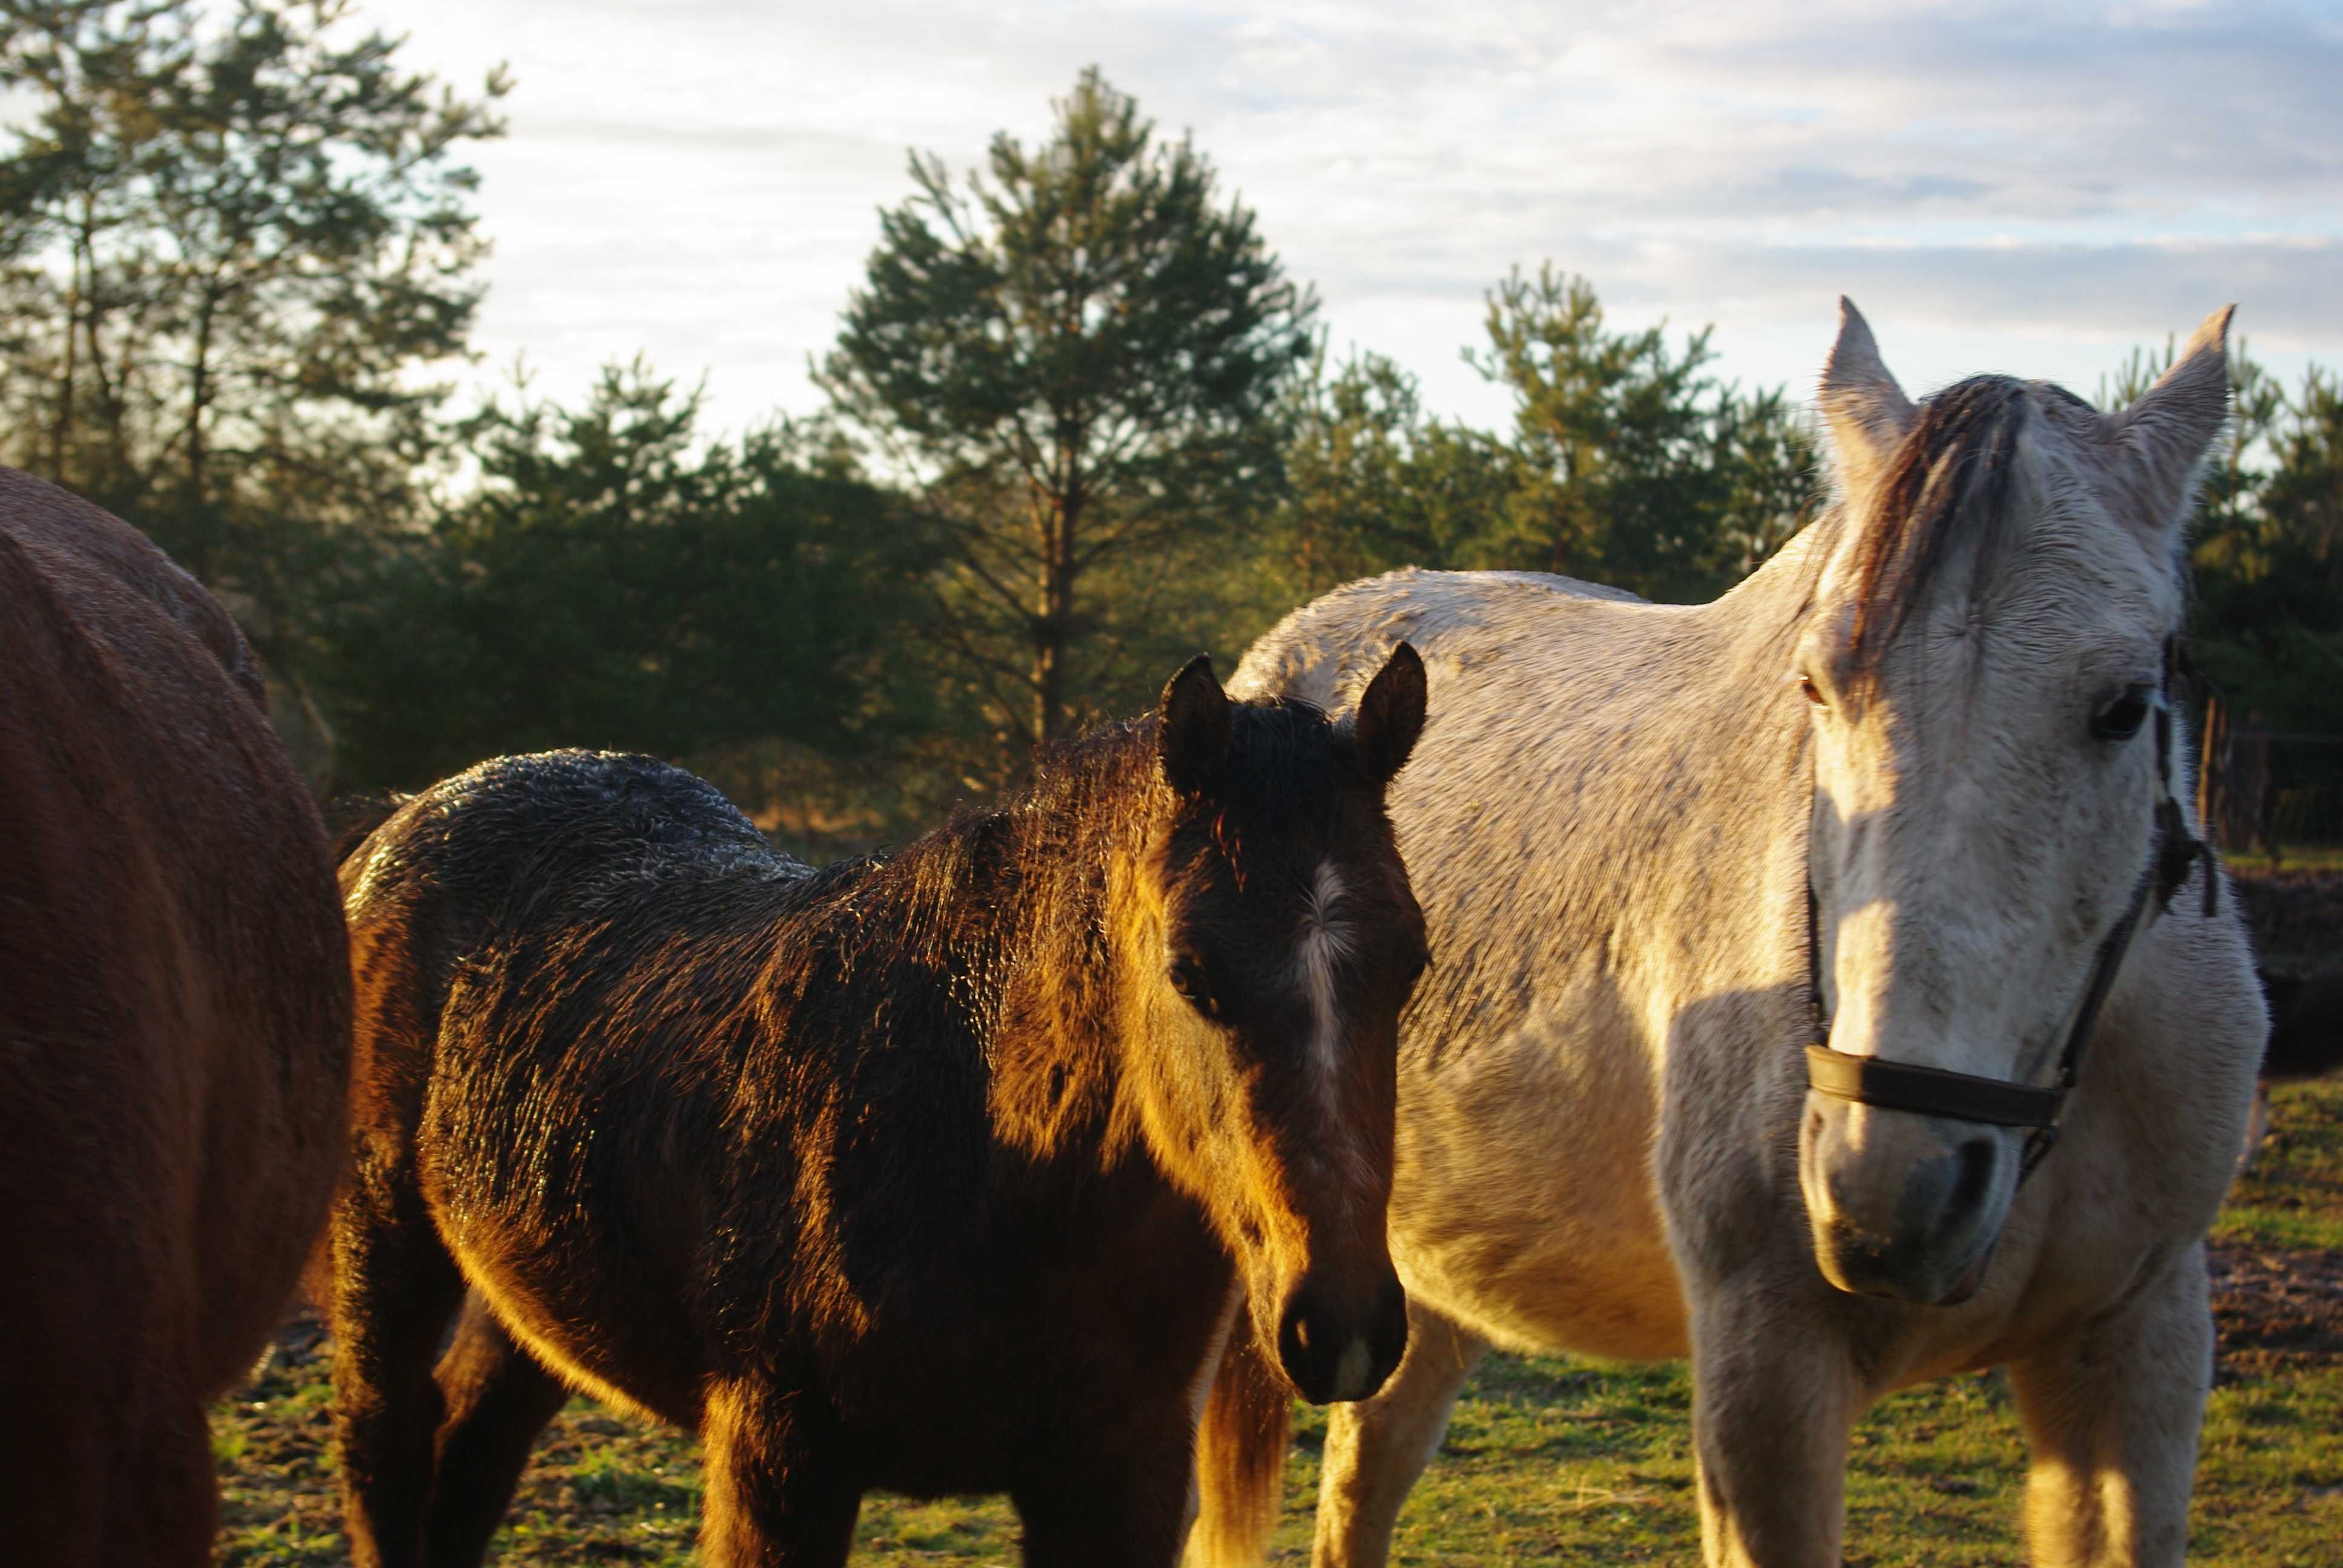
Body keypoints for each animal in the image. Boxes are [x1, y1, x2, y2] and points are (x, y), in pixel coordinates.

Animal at [330, 647, 1424, 1566]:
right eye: (1191, 972)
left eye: (1411, 962)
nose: (1342, 1325)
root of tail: (405, 816)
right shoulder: (779, 1461)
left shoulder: (1122, 1482)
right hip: (385, 1243)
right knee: (387, 1449)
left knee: (475, 1448)